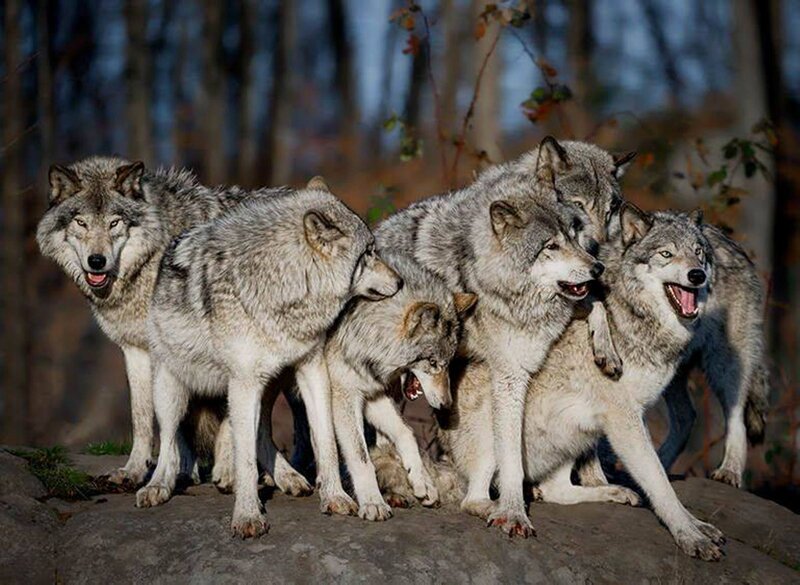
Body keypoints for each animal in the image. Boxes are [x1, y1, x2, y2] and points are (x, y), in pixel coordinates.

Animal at [36, 157, 302, 485]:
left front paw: (227, 471)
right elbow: (145, 415)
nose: (97, 261)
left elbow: (226, 414)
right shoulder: (137, 350)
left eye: (114, 223)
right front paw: (144, 470)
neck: (152, 260)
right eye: (81, 223)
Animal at [135, 179, 402, 538]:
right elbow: (245, 461)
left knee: (260, 432)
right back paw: (158, 486)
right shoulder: (244, 383)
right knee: (168, 441)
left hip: (268, 386)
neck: (284, 286)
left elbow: (326, 443)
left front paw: (335, 497)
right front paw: (248, 516)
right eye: (369, 252)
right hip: (173, 390)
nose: (401, 281)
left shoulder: (312, 370)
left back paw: (288, 477)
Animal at [324, 249, 477, 521]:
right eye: (433, 363)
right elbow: (362, 458)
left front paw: (422, 482)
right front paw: (373, 502)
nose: (446, 405)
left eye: (448, 363)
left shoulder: (372, 394)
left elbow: (406, 432)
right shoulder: (345, 396)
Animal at [438, 206, 726, 560]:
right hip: (499, 435)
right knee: (474, 499)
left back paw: (609, 492)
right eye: (666, 254)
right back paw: (502, 508)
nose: (697, 275)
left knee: (556, 490)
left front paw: (699, 528)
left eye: (699, 253)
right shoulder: (624, 419)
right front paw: (690, 536)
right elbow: (660, 483)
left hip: (574, 434)